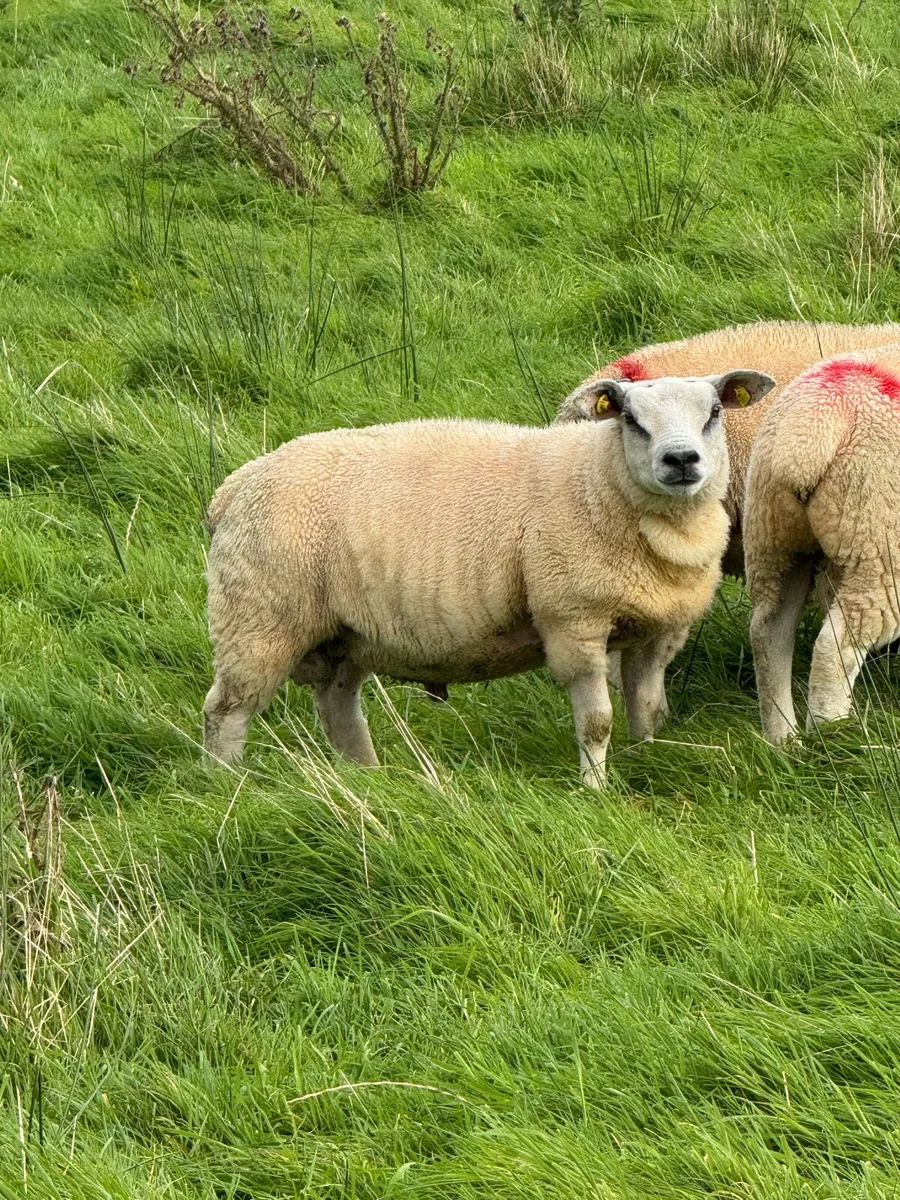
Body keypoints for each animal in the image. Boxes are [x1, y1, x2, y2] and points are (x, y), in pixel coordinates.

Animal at [203, 370, 773, 786]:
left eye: (714, 412)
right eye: (631, 419)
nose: (681, 460)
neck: (599, 480)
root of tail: (234, 486)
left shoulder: (657, 629)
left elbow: (650, 709)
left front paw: (646, 757)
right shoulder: (573, 621)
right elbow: (596, 721)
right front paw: (595, 789)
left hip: (341, 636)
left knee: (339, 709)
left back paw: (368, 778)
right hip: (258, 618)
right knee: (226, 711)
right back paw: (226, 786)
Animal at [743, 347, 900, 743]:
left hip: (774, 536)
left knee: (768, 632)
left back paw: (784, 740)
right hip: (880, 542)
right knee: (836, 646)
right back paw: (834, 734)